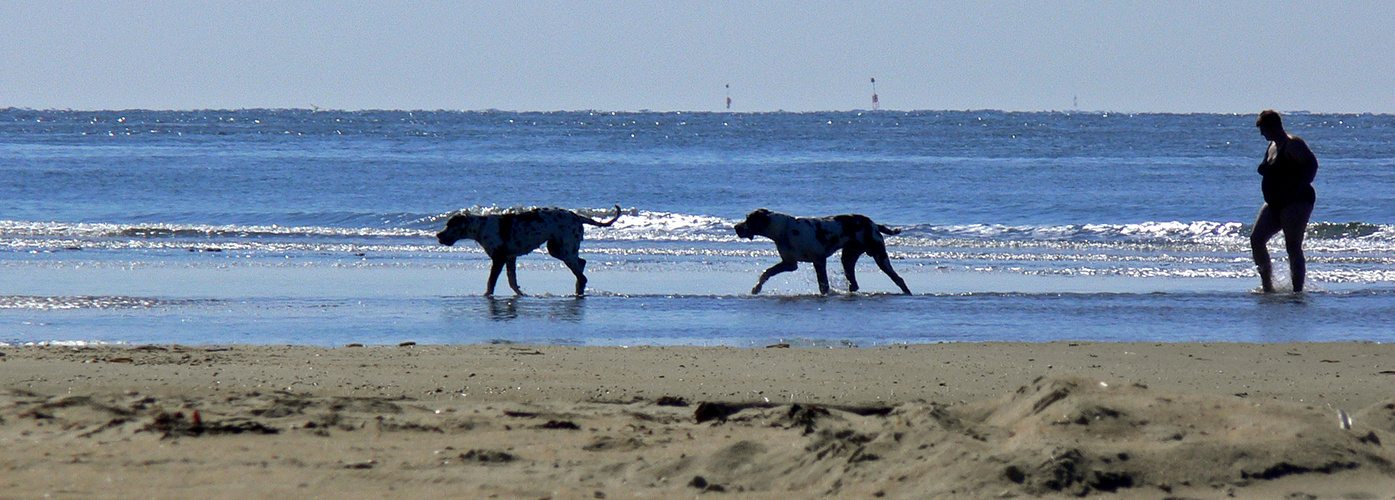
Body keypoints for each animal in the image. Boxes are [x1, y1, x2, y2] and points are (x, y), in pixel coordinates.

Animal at [435, 205, 622, 294]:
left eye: (450, 225)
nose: (438, 235)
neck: (481, 227)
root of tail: (578, 216)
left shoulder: (499, 259)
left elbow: (491, 282)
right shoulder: (510, 258)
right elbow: (512, 281)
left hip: (565, 251)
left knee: (582, 274)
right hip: (557, 249)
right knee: (581, 264)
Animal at [730, 208, 915, 294]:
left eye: (748, 220)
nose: (736, 227)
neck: (784, 230)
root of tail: (874, 224)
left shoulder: (818, 262)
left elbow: (823, 285)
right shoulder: (789, 264)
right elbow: (766, 273)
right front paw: (757, 288)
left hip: (879, 256)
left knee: (898, 279)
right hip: (848, 258)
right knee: (854, 284)